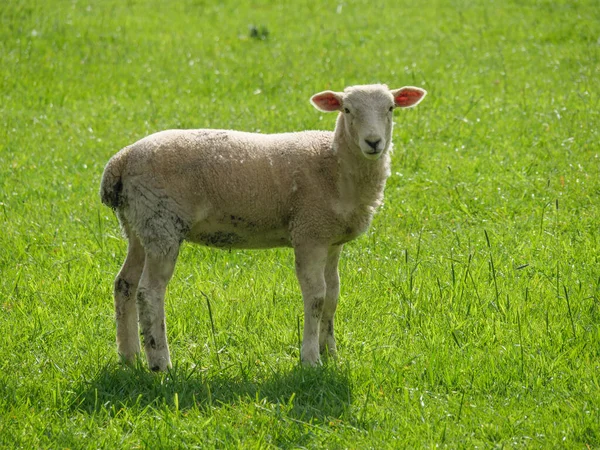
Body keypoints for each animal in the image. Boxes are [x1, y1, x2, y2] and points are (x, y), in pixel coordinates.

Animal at [99, 82, 426, 370]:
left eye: (391, 108)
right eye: (346, 109)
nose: (373, 142)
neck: (333, 165)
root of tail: (120, 161)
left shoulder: (332, 240)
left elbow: (333, 295)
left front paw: (331, 353)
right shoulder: (309, 232)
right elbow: (316, 297)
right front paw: (310, 359)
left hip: (138, 224)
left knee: (124, 284)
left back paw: (129, 356)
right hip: (161, 222)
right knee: (149, 292)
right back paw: (160, 363)